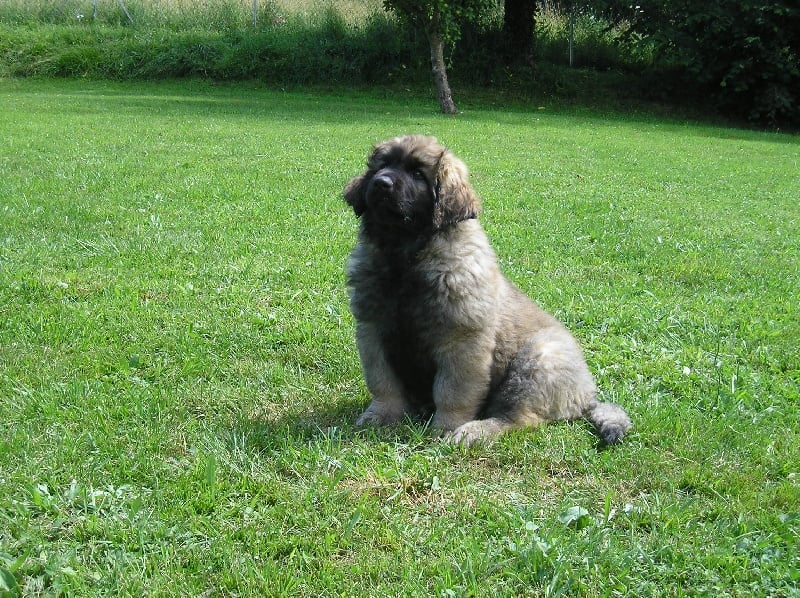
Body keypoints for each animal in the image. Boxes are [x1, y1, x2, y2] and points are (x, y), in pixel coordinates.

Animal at [344, 136, 632, 446]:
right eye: (382, 165)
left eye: (418, 174)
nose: (381, 183)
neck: (404, 254)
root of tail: (587, 394)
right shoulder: (373, 330)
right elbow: (383, 383)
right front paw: (381, 415)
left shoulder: (462, 341)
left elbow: (452, 392)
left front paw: (446, 428)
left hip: (535, 362)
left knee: (520, 419)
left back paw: (474, 432)